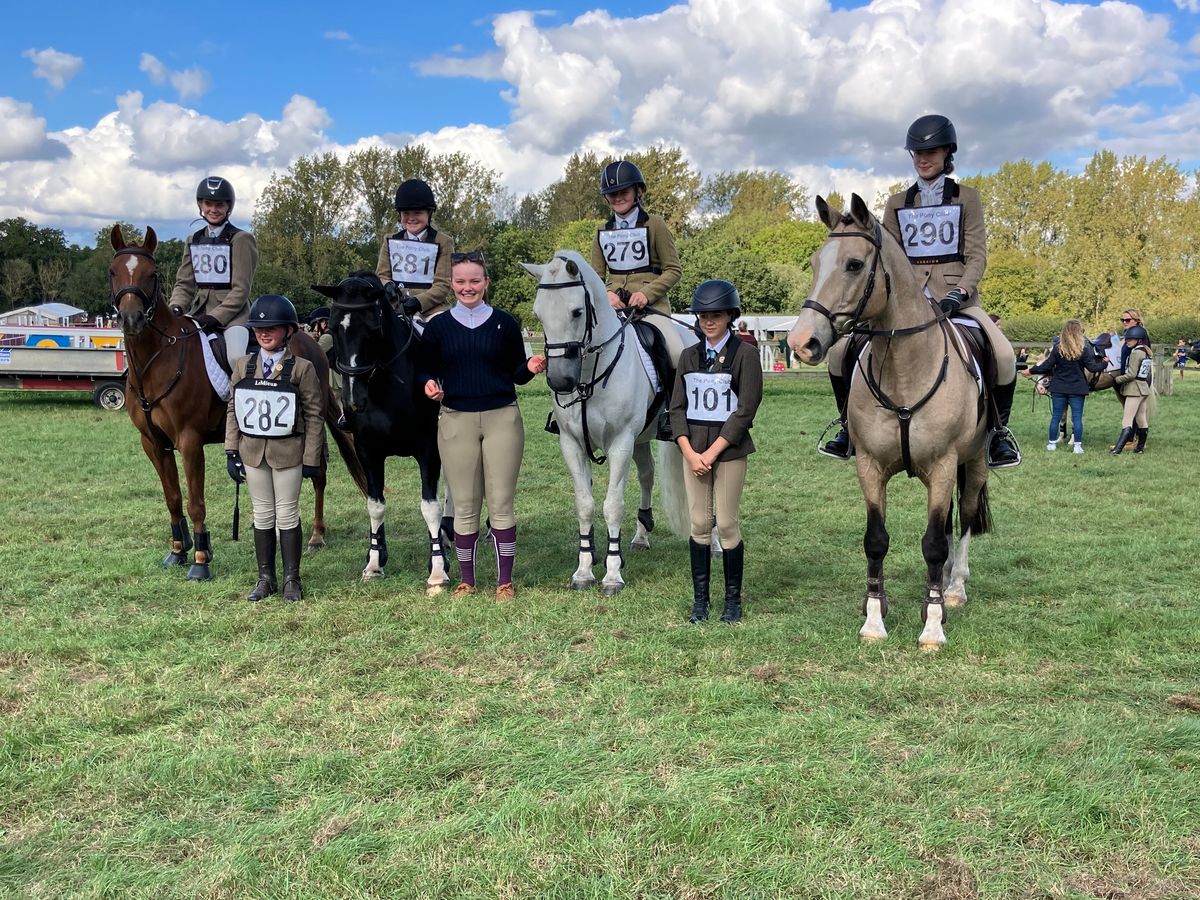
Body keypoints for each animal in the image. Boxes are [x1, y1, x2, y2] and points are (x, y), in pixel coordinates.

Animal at [112, 223, 364, 580]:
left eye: (152, 273)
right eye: (113, 271)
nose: (131, 318)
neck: (157, 361)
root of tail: (309, 340)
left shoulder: (190, 441)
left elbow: (195, 501)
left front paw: (200, 560)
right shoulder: (153, 443)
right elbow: (172, 498)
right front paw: (177, 552)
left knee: (319, 474)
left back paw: (316, 535)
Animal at [312, 270, 451, 592]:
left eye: (373, 329)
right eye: (334, 328)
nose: (353, 400)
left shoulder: (429, 450)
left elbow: (431, 506)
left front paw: (438, 569)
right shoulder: (368, 451)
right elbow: (375, 504)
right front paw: (374, 561)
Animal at [787, 195, 993, 648]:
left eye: (853, 265)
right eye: (814, 263)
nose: (801, 342)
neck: (904, 370)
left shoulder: (943, 466)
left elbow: (933, 543)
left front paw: (932, 626)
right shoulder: (870, 466)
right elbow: (876, 541)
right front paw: (874, 617)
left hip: (975, 463)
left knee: (966, 520)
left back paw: (954, 588)